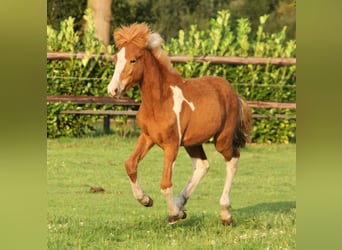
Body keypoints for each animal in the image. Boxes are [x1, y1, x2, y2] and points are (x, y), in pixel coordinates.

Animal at [108, 23, 252, 227]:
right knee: (202, 165)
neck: (159, 102)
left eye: (133, 60)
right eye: (115, 59)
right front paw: (146, 200)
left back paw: (225, 214)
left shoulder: (171, 145)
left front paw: (173, 215)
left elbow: (165, 183)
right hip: (193, 142)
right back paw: (181, 204)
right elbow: (130, 164)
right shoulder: (148, 137)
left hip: (222, 140)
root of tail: (233, 92)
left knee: (233, 159)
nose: (112, 90)